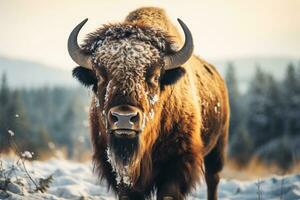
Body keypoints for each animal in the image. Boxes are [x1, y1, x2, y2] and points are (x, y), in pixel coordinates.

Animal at [67, 6, 230, 200]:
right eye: (99, 76)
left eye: (155, 76)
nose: (124, 118)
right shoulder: (118, 173)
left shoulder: (178, 162)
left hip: (217, 149)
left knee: (213, 178)